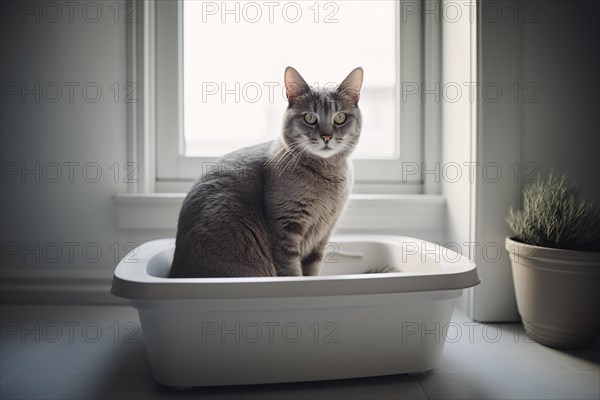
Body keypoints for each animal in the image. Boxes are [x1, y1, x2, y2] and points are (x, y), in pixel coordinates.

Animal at [171, 66, 364, 278]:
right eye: (310, 118)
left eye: (340, 118)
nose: (327, 136)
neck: (327, 175)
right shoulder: (286, 229)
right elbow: (291, 271)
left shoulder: (322, 236)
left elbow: (312, 271)